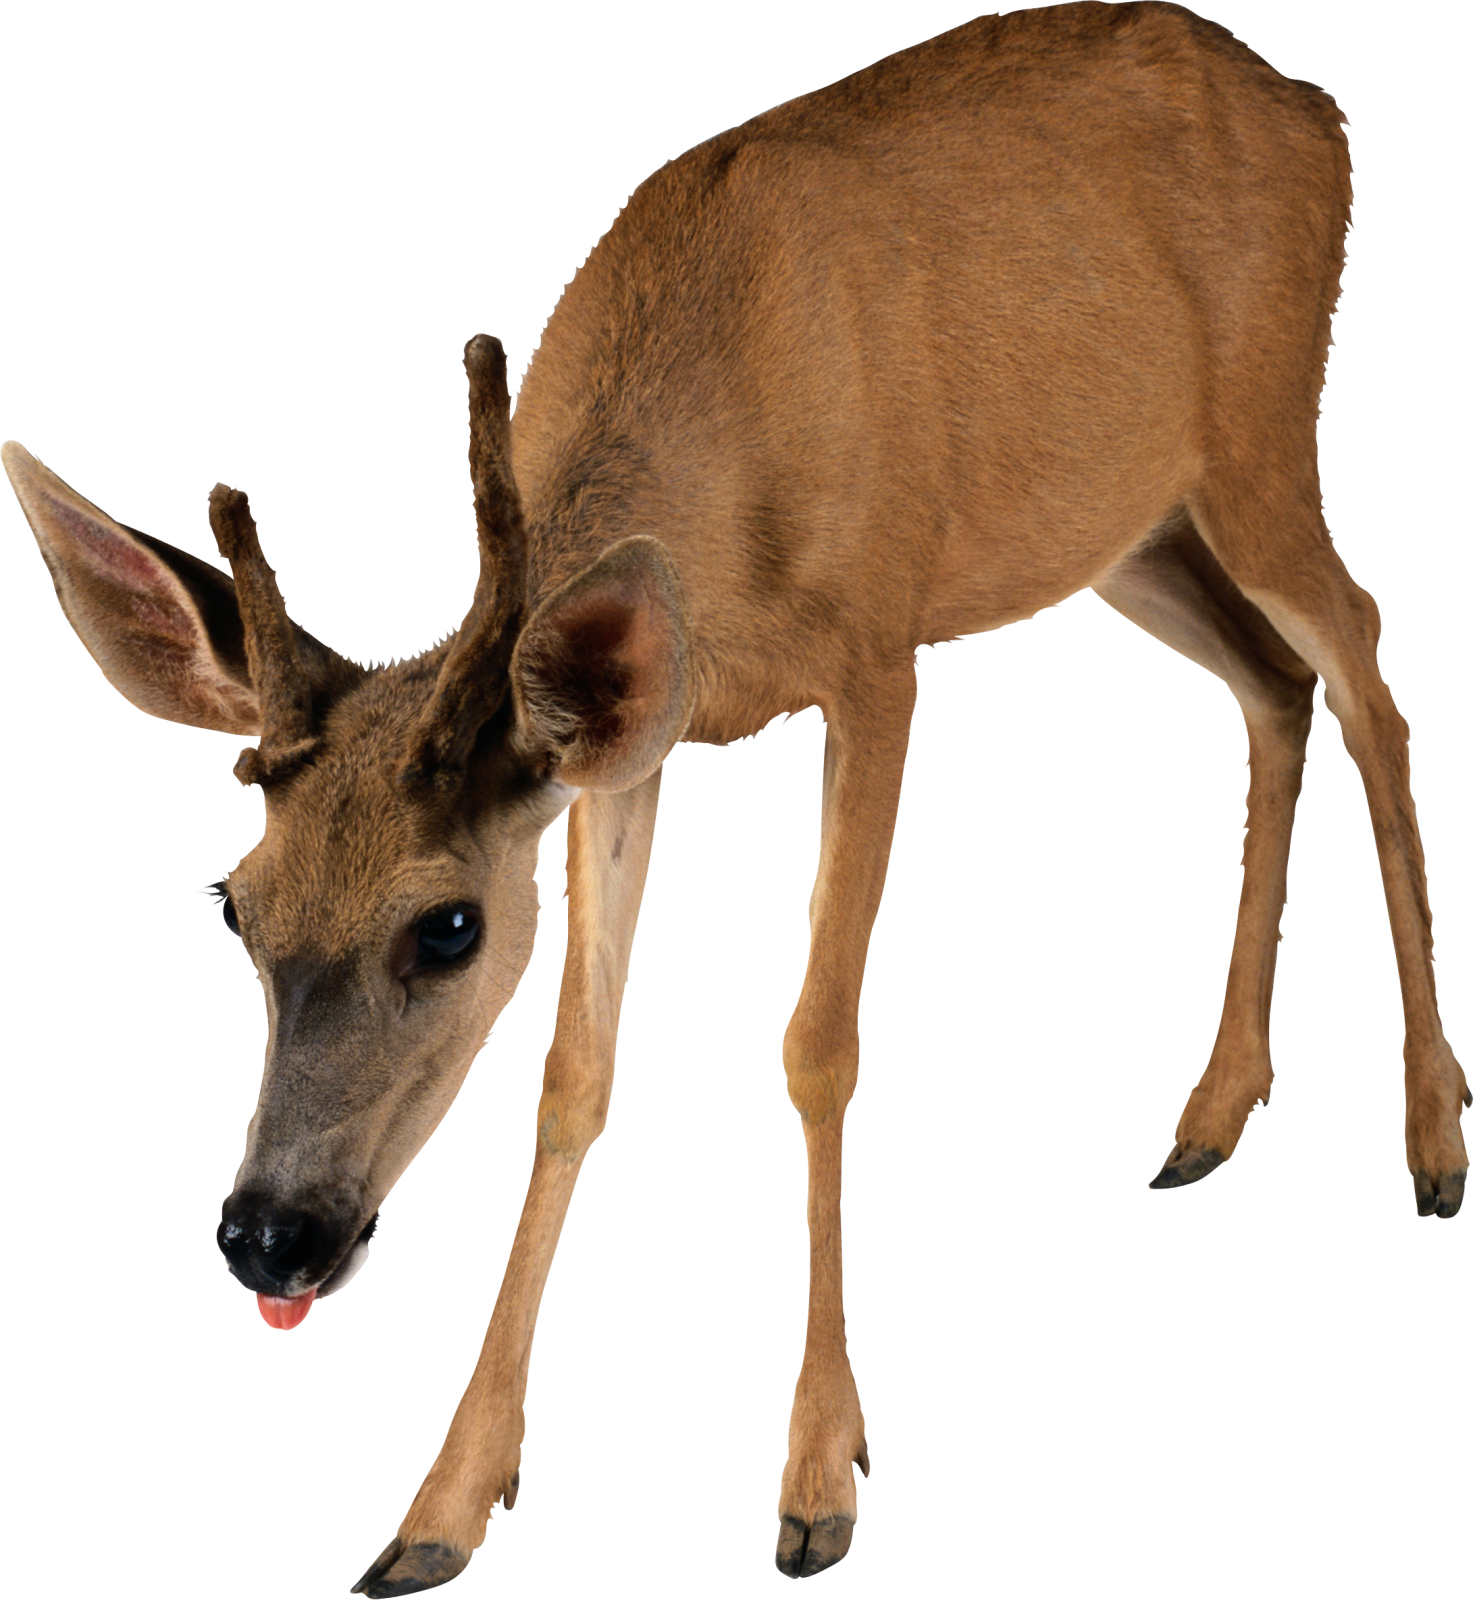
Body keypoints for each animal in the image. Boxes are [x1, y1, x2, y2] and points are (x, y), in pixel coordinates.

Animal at [6, 2, 1468, 1592]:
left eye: (447, 929)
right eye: (230, 906)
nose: (269, 1238)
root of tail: (1310, 103)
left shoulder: (880, 649)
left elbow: (817, 1043)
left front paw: (818, 1479)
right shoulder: (626, 754)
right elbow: (573, 1075)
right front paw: (440, 1507)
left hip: (1261, 441)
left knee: (1369, 662)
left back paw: (1434, 1137)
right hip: (1129, 526)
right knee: (1273, 687)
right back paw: (1212, 1111)